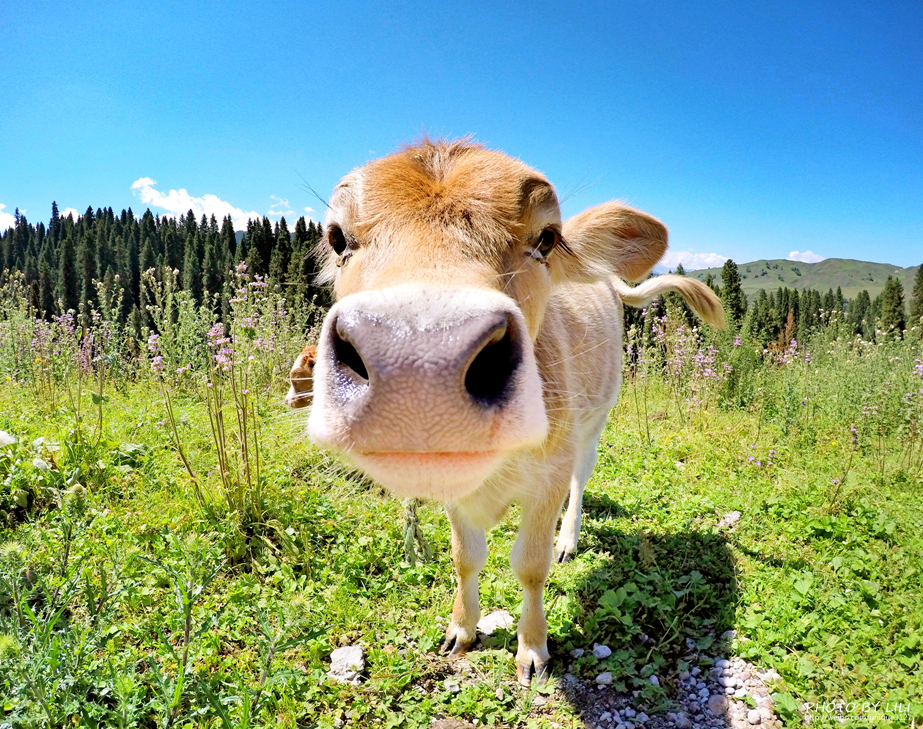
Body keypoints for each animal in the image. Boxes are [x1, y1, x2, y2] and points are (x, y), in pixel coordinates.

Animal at [300, 139, 724, 684]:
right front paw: (461, 628)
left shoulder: (547, 477)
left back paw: (569, 540)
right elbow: (465, 557)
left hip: (593, 424)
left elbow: (530, 564)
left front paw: (533, 647)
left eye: (547, 238)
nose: (419, 366)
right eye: (337, 238)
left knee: (581, 481)